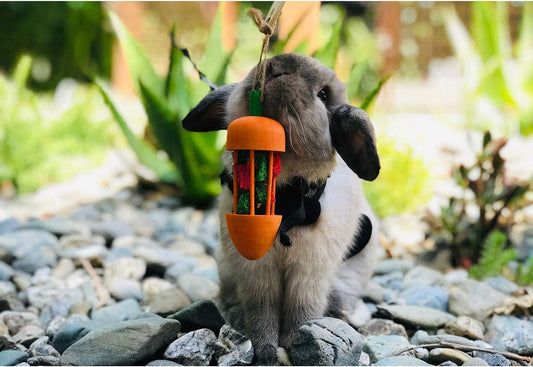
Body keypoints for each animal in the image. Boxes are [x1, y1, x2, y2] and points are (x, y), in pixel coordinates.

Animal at [181, 52, 380, 366]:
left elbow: (302, 310)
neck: (285, 198)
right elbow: (263, 312)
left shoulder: (310, 274)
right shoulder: (256, 273)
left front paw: (297, 342)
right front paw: (264, 351)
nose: (277, 67)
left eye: (324, 95)